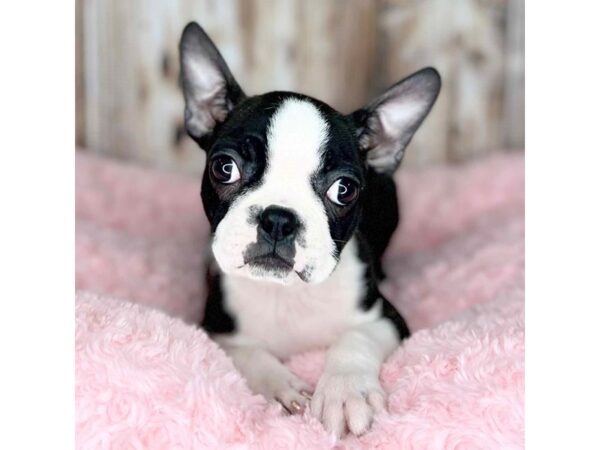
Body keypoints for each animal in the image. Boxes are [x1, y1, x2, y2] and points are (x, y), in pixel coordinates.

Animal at [178, 22, 440, 438]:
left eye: (343, 189)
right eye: (225, 167)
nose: (278, 219)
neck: (289, 294)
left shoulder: (386, 317)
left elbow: (354, 338)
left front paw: (346, 393)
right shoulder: (217, 329)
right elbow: (250, 354)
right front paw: (282, 386)